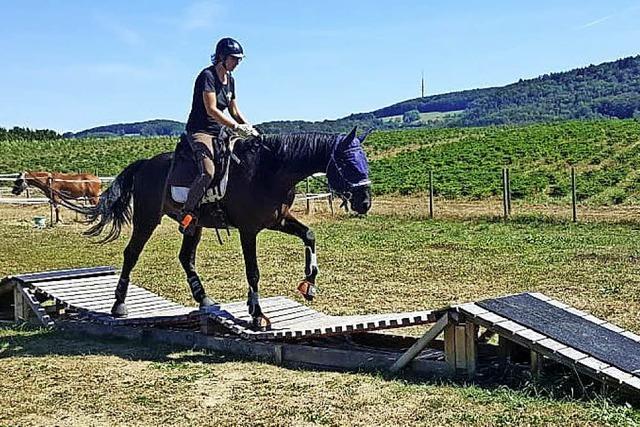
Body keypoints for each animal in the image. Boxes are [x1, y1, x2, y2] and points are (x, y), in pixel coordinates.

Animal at [77, 129, 372, 330]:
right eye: (347, 163)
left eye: (365, 161)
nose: (365, 202)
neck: (270, 171)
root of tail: (145, 163)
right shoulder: (249, 230)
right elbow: (253, 271)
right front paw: (258, 315)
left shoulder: (278, 220)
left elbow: (309, 235)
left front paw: (308, 284)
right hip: (147, 219)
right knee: (131, 254)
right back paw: (119, 305)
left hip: (192, 225)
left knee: (186, 257)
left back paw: (204, 299)